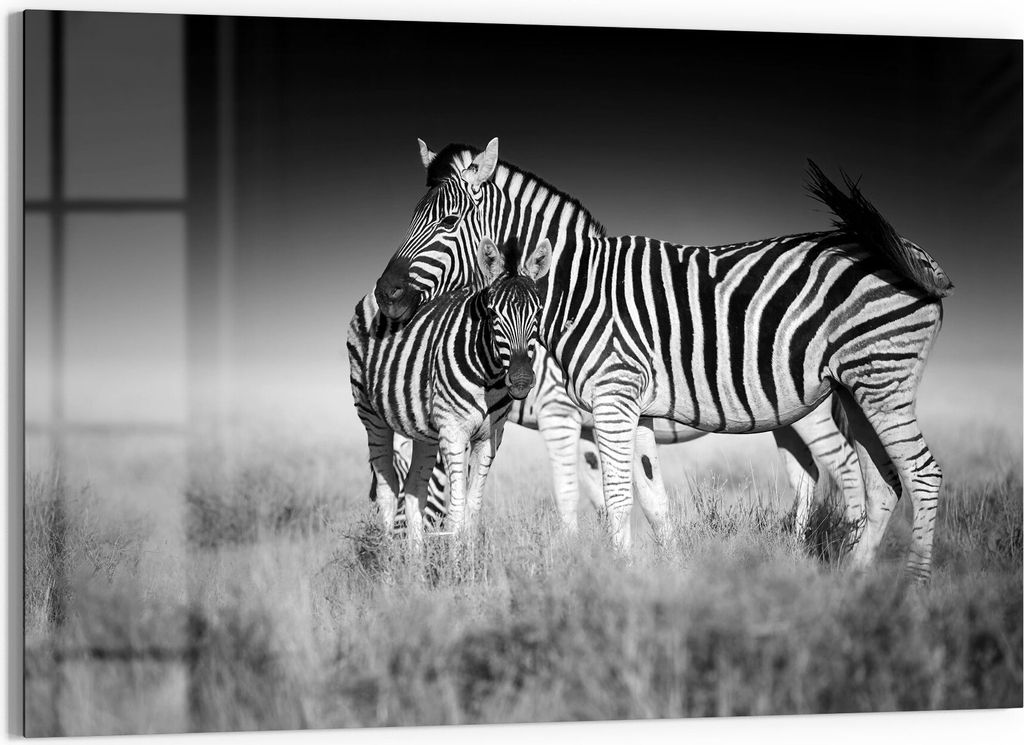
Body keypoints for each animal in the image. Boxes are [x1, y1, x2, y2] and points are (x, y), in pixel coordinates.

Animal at [348, 235, 552, 540]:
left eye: (538, 313)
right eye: (492, 314)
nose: (521, 380)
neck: (490, 377)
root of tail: (375, 295)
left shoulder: (490, 436)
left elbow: (472, 509)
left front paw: (469, 555)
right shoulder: (454, 432)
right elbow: (456, 510)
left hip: (424, 430)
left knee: (414, 491)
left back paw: (415, 555)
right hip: (371, 415)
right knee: (387, 491)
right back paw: (388, 553)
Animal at [372, 139, 953, 580]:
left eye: (449, 221)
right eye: (412, 217)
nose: (385, 294)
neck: (574, 291)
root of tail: (911, 252)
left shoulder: (591, 406)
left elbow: (598, 497)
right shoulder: (631, 408)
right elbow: (649, 499)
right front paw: (661, 577)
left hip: (879, 380)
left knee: (911, 475)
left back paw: (911, 591)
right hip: (853, 388)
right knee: (878, 482)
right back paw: (851, 579)